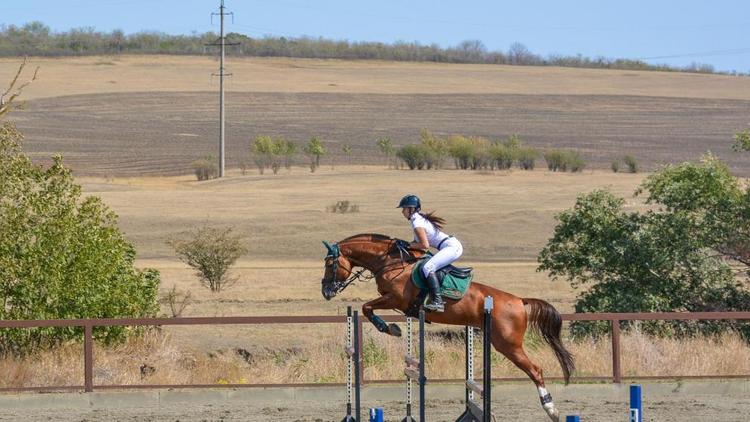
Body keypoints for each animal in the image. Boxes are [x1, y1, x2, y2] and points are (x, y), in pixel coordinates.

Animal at [322, 234, 576, 422]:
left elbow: (367, 307)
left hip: (508, 344)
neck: (391, 263)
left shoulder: (395, 299)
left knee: (535, 370)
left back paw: (551, 409)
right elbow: (367, 308)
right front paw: (392, 328)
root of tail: (520, 301)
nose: (326, 291)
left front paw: (390, 328)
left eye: (329, 264)